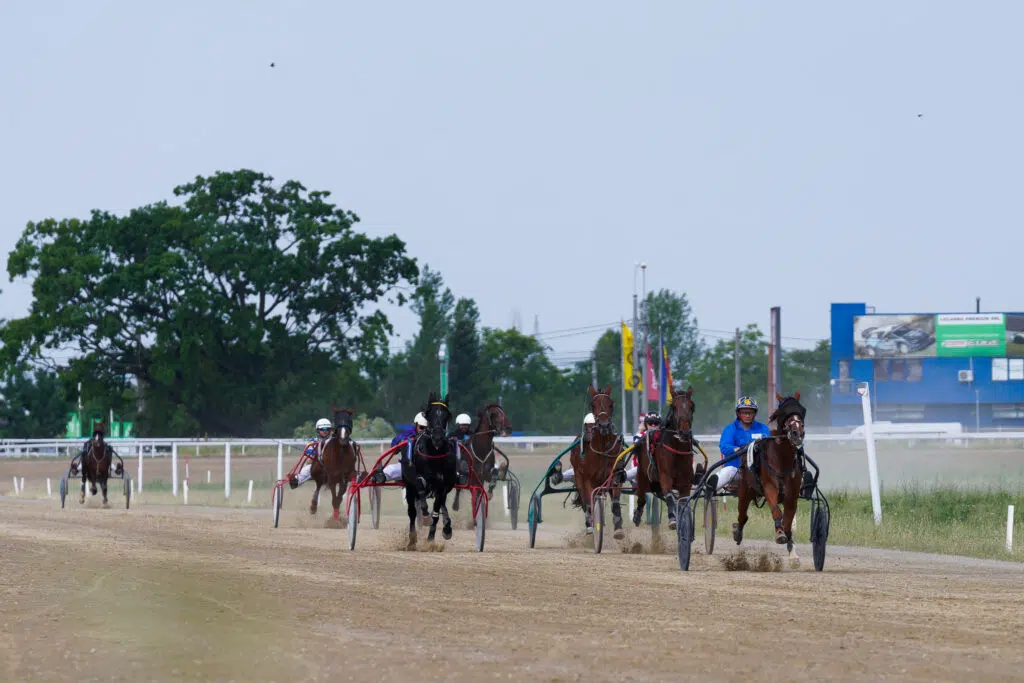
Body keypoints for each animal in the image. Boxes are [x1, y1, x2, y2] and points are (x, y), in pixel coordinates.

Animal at [403, 393, 460, 548]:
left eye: (447, 415)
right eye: (429, 414)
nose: (438, 437)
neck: (435, 453)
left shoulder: (442, 485)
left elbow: (436, 510)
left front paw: (431, 539)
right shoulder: (419, 479)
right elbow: (421, 493)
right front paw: (426, 517)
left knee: (441, 505)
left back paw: (446, 527)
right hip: (409, 486)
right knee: (412, 512)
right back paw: (412, 539)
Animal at [565, 385, 626, 540]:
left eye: (611, 404)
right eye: (593, 404)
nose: (604, 425)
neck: (602, 449)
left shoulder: (615, 475)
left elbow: (615, 502)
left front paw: (618, 528)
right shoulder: (588, 479)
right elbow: (588, 502)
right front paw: (593, 526)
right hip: (579, 477)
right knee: (585, 501)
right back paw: (590, 525)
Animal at [630, 387, 696, 532]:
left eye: (691, 406)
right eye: (674, 407)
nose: (684, 433)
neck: (677, 448)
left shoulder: (686, 481)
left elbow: (683, 501)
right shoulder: (665, 476)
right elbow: (670, 496)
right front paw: (672, 519)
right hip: (642, 475)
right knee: (641, 495)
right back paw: (637, 515)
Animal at [733, 393, 811, 557]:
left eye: (801, 410)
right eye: (784, 411)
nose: (797, 433)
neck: (782, 458)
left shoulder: (793, 491)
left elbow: (789, 515)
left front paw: (790, 544)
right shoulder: (769, 485)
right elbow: (776, 510)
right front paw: (780, 533)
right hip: (745, 488)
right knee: (742, 514)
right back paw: (737, 531)